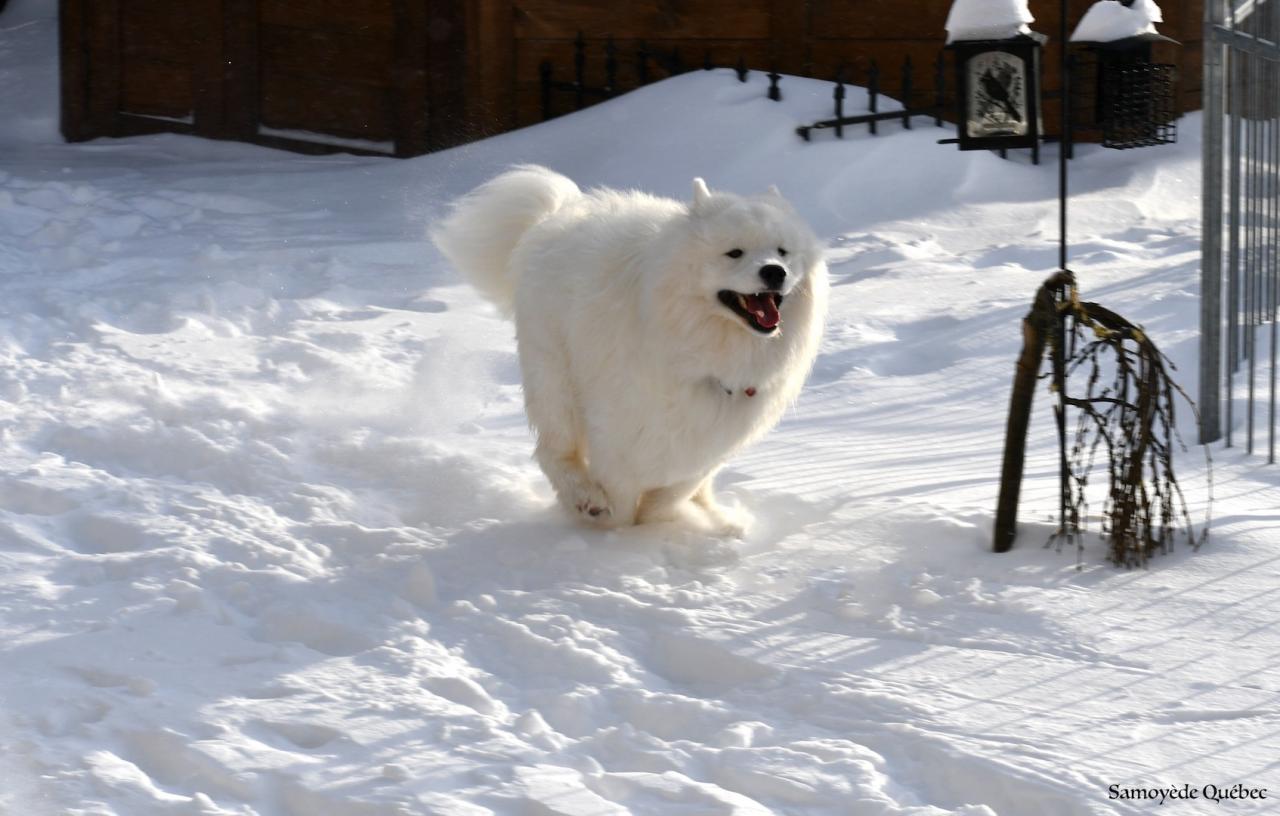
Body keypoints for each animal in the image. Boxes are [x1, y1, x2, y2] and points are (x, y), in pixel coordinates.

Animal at [432, 167, 829, 537]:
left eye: (782, 252)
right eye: (734, 253)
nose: (775, 272)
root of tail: (554, 215)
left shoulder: (709, 441)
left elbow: (672, 493)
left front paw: (667, 523)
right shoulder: (620, 433)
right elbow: (622, 495)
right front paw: (617, 535)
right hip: (555, 380)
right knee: (554, 451)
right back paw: (584, 497)